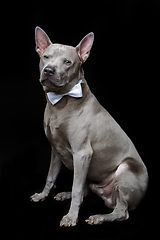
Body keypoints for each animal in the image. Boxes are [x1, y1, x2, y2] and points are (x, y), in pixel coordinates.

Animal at [30, 26, 148, 227]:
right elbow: (51, 176)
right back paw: (65, 194)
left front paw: (71, 217)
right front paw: (42, 195)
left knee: (121, 211)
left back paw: (99, 217)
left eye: (67, 62)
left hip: (125, 170)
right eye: (45, 56)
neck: (61, 102)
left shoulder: (82, 153)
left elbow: (77, 188)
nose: (49, 71)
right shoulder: (55, 148)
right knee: (86, 190)